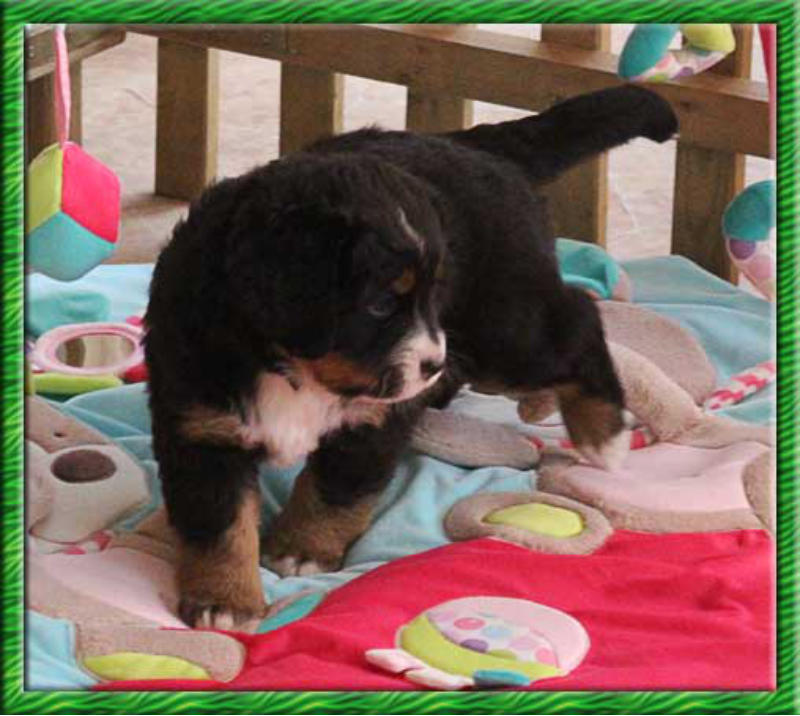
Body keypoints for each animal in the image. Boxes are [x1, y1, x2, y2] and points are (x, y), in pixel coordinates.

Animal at [144, 84, 678, 627]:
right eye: (381, 304)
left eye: (428, 295)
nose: (430, 364)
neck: (288, 366)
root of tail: (476, 144)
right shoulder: (203, 427)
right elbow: (221, 524)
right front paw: (225, 600)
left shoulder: (372, 420)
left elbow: (334, 490)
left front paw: (302, 549)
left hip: (503, 328)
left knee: (579, 317)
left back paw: (602, 435)